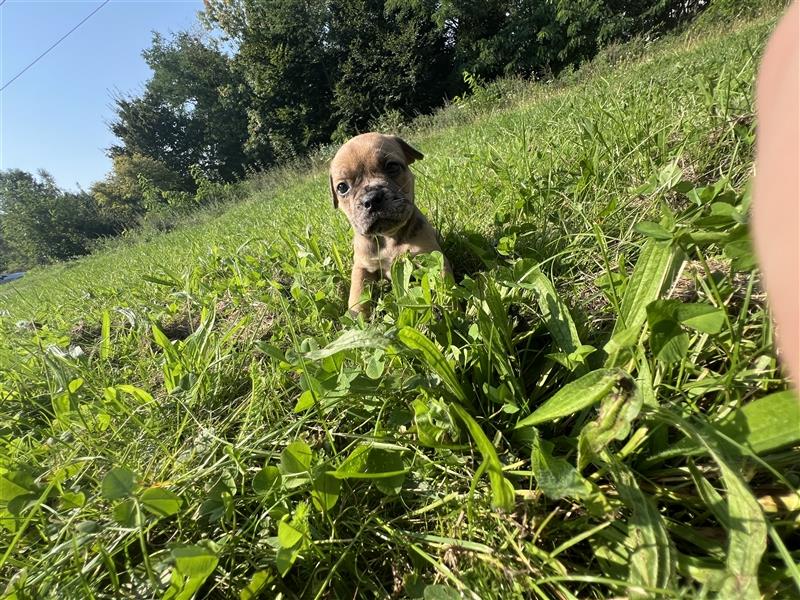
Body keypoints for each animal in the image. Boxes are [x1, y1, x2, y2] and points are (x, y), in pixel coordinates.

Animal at [328, 132, 446, 314]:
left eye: (392, 166)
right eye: (342, 187)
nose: (371, 199)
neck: (388, 236)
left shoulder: (429, 256)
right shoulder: (361, 267)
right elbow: (357, 296)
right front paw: (355, 317)